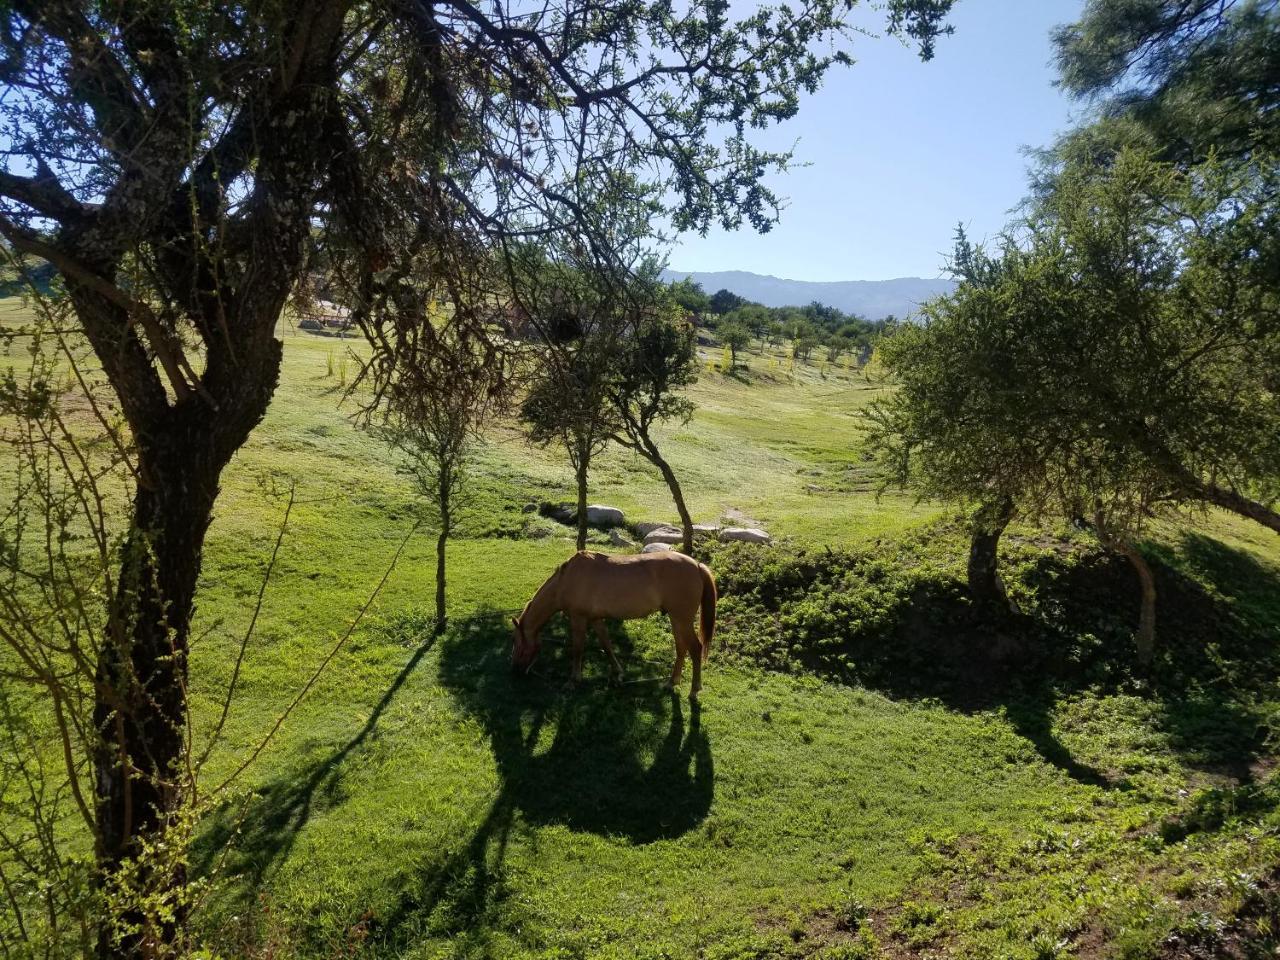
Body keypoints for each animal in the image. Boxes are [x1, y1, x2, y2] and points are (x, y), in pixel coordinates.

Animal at [509, 552, 716, 701]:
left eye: (518, 644)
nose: (515, 671)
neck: (566, 581)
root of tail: (697, 566)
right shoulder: (595, 619)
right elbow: (606, 645)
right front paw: (618, 672)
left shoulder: (578, 619)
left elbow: (577, 649)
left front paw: (573, 681)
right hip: (677, 620)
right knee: (681, 648)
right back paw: (672, 682)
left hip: (682, 619)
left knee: (695, 649)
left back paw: (694, 690)